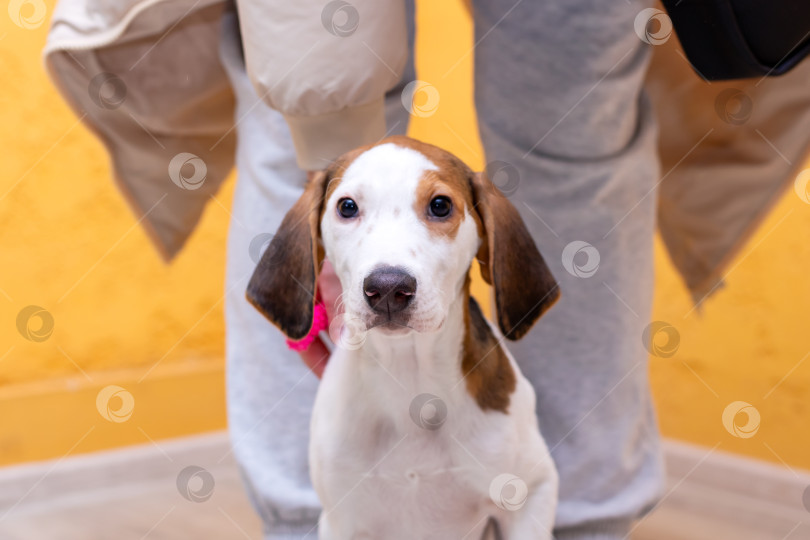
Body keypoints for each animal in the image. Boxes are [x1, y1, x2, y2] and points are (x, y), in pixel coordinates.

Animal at [249, 136, 560, 540]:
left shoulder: (531, 492)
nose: (387, 288)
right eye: (347, 207)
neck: (409, 377)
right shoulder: (341, 520)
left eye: (440, 206)